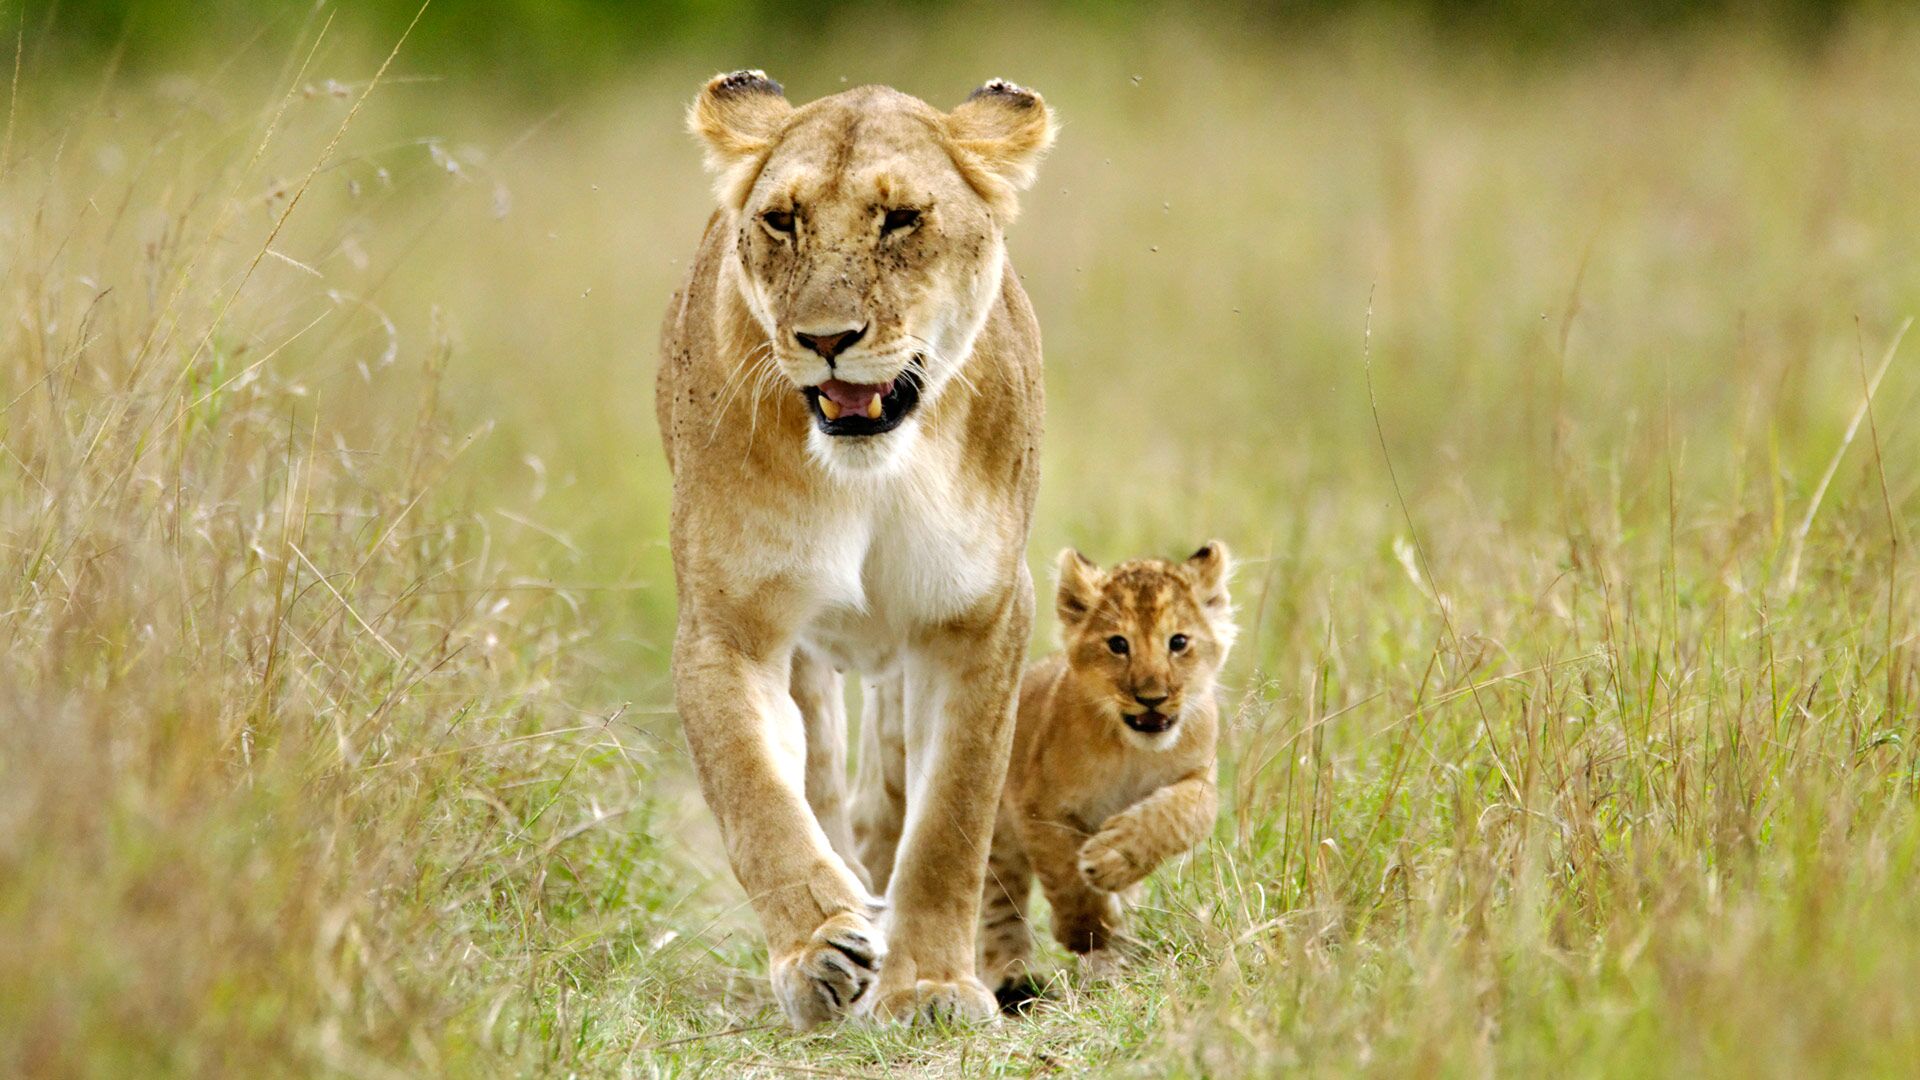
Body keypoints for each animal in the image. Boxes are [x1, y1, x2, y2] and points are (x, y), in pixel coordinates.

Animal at [656, 71, 1054, 1027]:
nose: (826, 339)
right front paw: (821, 951)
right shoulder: (728, 628)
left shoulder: (979, 618)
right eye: (781, 220)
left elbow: (950, 818)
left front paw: (934, 985)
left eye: (901, 219)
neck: (871, 471)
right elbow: (757, 796)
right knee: (825, 782)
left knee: (893, 795)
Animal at [977, 543, 1235, 999]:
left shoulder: (1199, 779)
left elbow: (1176, 816)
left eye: (1178, 642)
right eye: (1118, 644)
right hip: (998, 832)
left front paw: (1113, 857)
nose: (1152, 698)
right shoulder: (1037, 804)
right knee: (999, 902)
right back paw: (1013, 981)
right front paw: (1085, 930)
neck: (1132, 749)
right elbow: (1065, 877)